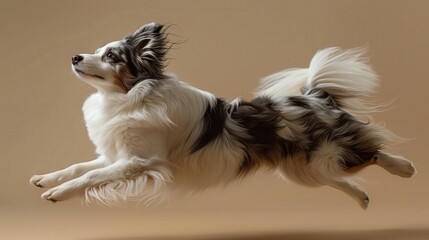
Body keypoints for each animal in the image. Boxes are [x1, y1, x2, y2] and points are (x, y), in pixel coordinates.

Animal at [29, 23, 414, 209]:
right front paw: (46, 179)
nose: (75, 57)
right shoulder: (115, 156)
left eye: (110, 56)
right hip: (304, 172)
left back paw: (405, 168)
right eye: (96, 51)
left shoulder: (140, 162)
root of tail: (313, 97)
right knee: (340, 178)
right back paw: (362, 199)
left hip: (328, 154)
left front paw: (59, 194)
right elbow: (79, 167)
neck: (127, 98)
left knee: (373, 152)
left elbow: (90, 177)